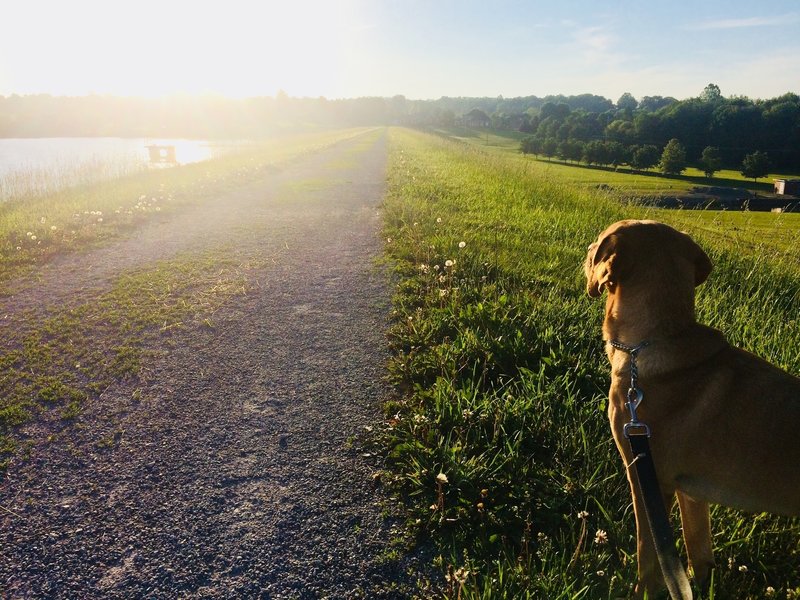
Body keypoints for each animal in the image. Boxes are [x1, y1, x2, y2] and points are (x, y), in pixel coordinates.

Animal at [580, 219, 800, 596]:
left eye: (598, 242)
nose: (587, 251)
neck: (654, 341)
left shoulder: (649, 479)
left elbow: (648, 558)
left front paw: (642, 593)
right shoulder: (691, 493)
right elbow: (698, 553)